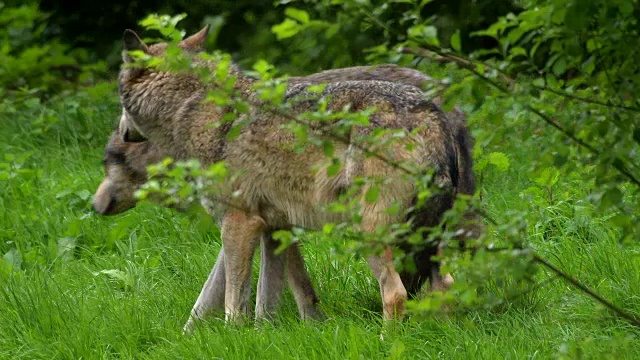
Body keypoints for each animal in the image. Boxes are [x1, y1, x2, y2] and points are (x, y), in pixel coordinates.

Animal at [114, 26, 476, 322]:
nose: (121, 133)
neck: (193, 107)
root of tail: (433, 113)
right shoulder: (276, 227)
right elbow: (268, 299)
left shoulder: (239, 223)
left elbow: (233, 303)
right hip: (425, 239)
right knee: (446, 285)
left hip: (370, 232)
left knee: (396, 294)